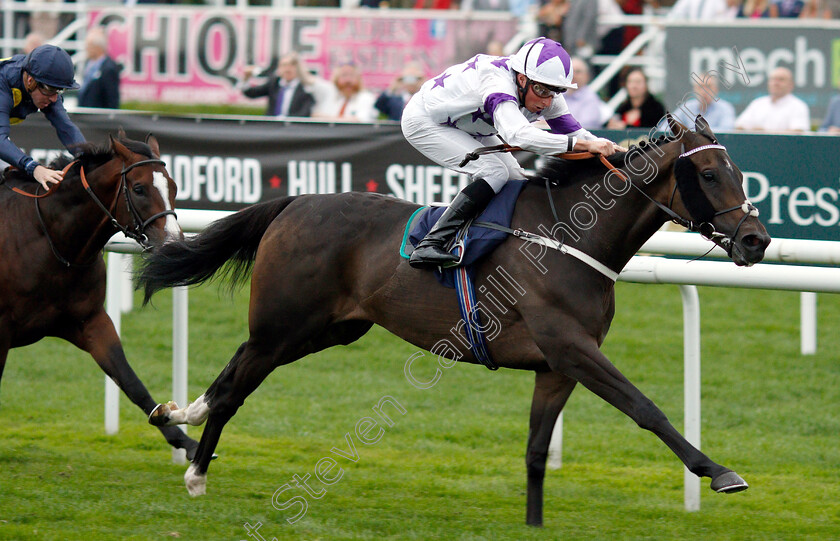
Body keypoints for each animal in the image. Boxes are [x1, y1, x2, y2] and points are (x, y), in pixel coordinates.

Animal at [0, 136, 199, 460]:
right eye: (139, 188)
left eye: (173, 186)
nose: (173, 244)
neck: (51, 240)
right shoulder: (2, 330)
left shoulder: (90, 320)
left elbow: (129, 380)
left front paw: (185, 440)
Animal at [141, 115, 772, 524]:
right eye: (709, 176)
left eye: (740, 173)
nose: (757, 240)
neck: (570, 237)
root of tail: (295, 202)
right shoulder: (572, 348)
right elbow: (646, 408)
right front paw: (719, 471)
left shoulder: (557, 366)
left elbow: (536, 451)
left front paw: (534, 523)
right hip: (284, 324)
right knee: (237, 386)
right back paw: (196, 469)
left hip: (325, 329)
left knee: (235, 371)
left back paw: (182, 417)